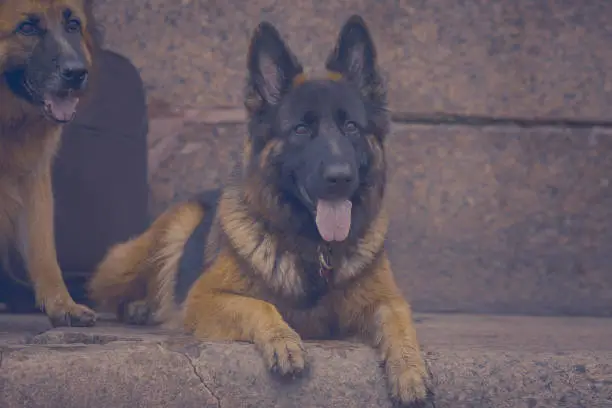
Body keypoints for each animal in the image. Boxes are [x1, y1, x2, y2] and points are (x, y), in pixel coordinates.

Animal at [0, 0, 97, 326]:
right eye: (27, 28)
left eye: (72, 25)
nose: (77, 73)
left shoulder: (33, 180)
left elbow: (44, 252)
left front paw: (62, 304)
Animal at [89, 14, 436, 406]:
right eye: (301, 129)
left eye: (350, 126)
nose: (339, 177)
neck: (315, 249)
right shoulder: (204, 298)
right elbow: (258, 305)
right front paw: (283, 341)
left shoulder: (386, 299)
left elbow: (399, 322)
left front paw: (410, 369)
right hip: (159, 240)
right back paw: (140, 307)